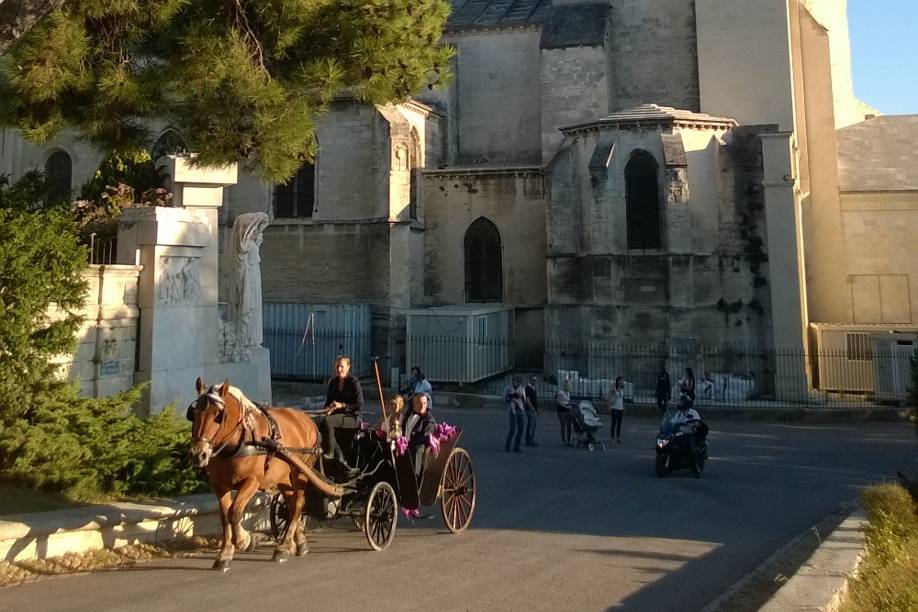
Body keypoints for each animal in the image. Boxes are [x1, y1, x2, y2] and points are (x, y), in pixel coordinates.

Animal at [190, 376, 328, 572]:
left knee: (298, 504)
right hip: (283, 477)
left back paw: (283, 547)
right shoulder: (219, 485)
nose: (198, 454)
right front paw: (224, 554)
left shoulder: (252, 481)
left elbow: (234, 512)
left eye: (219, 415)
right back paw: (298, 542)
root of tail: (307, 419)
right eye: (194, 413)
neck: (239, 441)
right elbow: (224, 517)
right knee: (292, 503)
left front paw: (244, 541)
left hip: (300, 471)